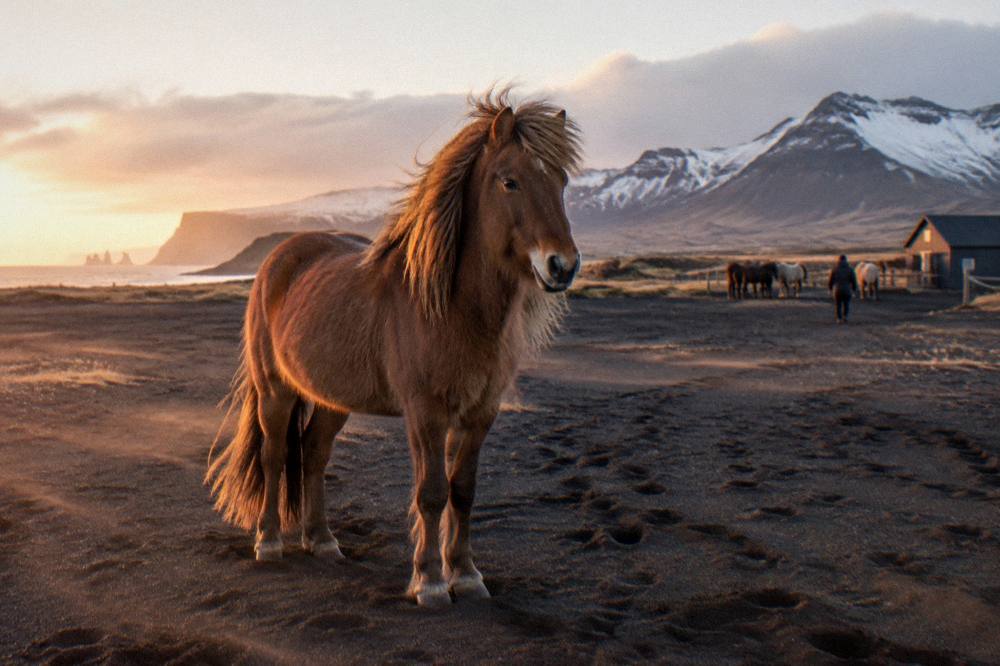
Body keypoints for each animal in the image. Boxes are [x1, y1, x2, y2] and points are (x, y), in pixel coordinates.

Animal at [205, 91, 582, 608]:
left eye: (562, 181)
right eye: (510, 181)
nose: (562, 265)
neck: (450, 307)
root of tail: (278, 259)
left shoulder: (480, 412)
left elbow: (463, 490)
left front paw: (466, 574)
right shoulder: (425, 412)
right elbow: (432, 492)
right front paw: (430, 582)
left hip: (332, 398)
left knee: (314, 453)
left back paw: (322, 540)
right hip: (275, 391)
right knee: (275, 455)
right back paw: (270, 541)